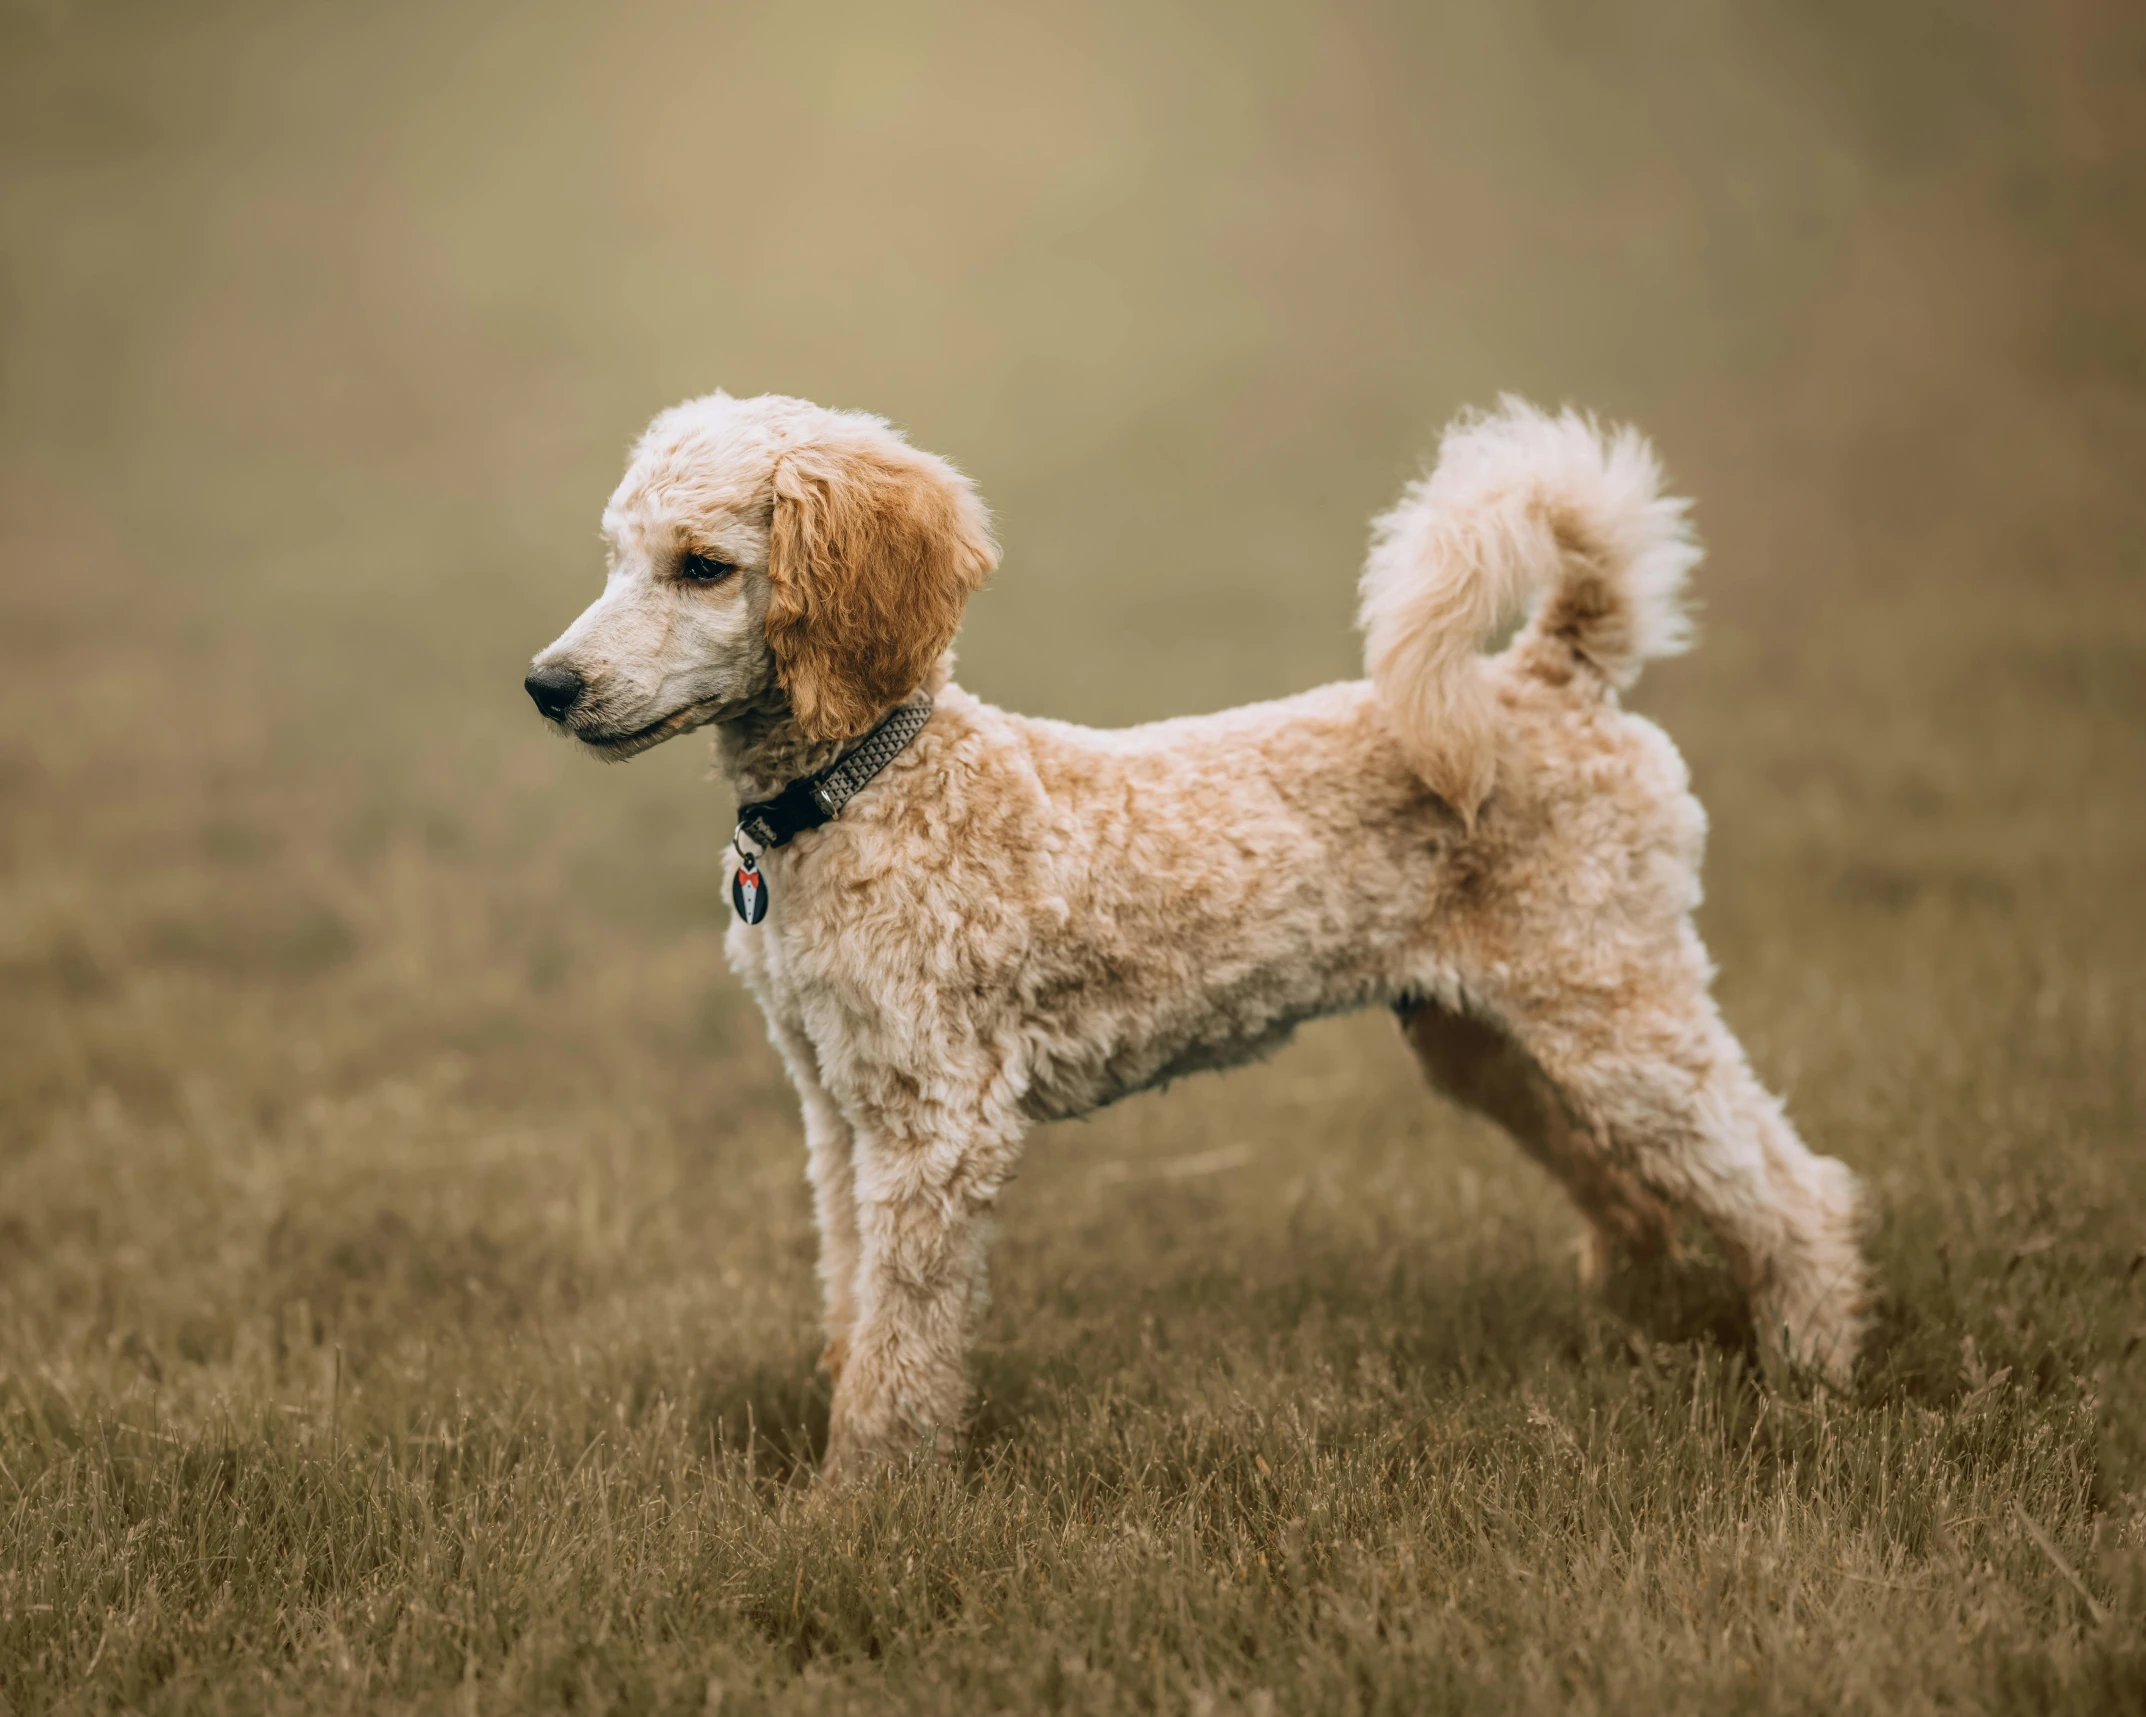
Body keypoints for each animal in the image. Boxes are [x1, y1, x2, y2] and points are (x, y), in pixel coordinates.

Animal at [527, 392, 1871, 1476]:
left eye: (703, 565)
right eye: (615, 556)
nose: (546, 685)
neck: (867, 791)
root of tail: (1551, 675)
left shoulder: (936, 1122)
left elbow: (901, 1348)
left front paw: (862, 1502)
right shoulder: (837, 1107)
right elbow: (855, 1307)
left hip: (1610, 1007)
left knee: (1797, 1190)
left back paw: (1811, 1371)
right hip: (1490, 1038)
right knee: (1638, 1194)